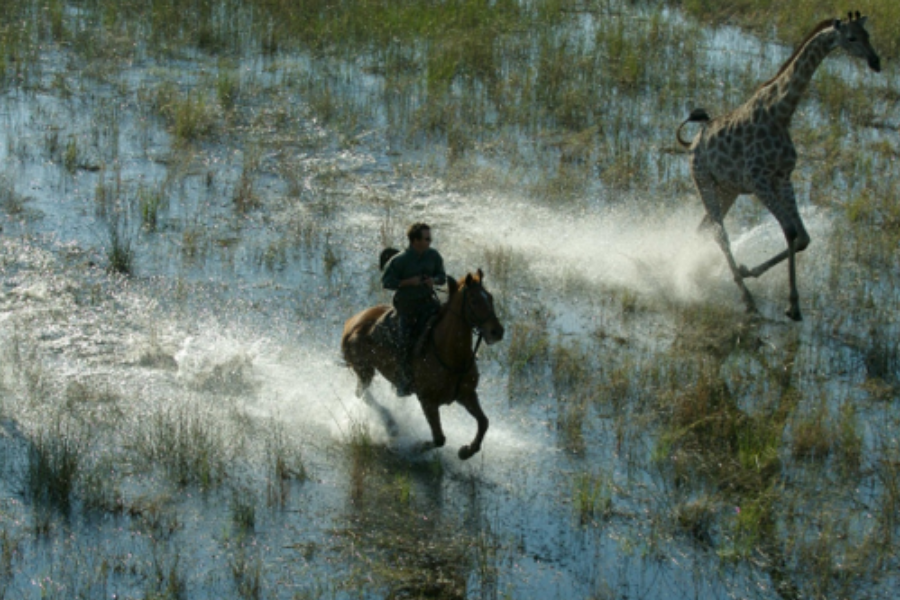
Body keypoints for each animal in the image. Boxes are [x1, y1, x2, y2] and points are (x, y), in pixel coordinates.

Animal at [340, 270, 502, 462]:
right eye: (474, 301)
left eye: (490, 297)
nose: (497, 332)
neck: (451, 354)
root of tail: (352, 323)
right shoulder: (428, 401)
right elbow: (439, 438)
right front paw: (415, 448)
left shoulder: (467, 395)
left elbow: (484, 422)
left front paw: (466, 451)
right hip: (364, 370)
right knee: (362, 394)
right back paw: (391, 425)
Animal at [680, 11, 884, 322]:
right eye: (851, 38)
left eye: (868, 35)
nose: (875, 62)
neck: (781, 113)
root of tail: (692, 143)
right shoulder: (758, 181)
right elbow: (789, 231)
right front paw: (792, 305)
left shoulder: (783, 179)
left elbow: (803, 237)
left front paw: (751, 271)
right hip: (703, 181)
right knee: (720, 233)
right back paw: (747, 300)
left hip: (727, 189)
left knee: (704, 229)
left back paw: (703, 275)